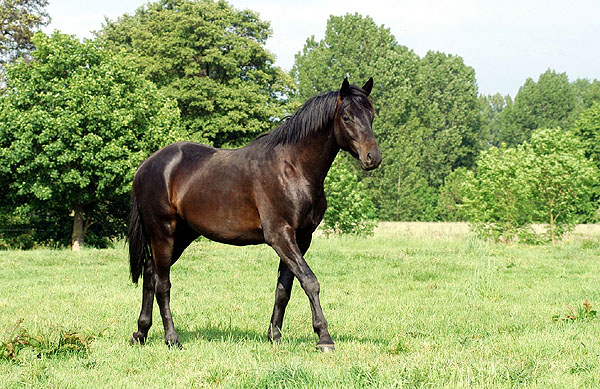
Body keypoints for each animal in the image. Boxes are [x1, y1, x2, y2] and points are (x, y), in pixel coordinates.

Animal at [127, 77, 382, 350]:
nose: (373, 157)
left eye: (371, 115)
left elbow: (284, 289)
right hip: (163, 232)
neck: (292, 167)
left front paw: (275, 336)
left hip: (181, 236)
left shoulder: (301, 239)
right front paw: (324, 337)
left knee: (150, 274)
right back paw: (172, 338)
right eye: (346, 117)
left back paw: (141, 333)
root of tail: (146, 166)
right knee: (162, 283)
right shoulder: (280, 236)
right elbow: (310, 281)